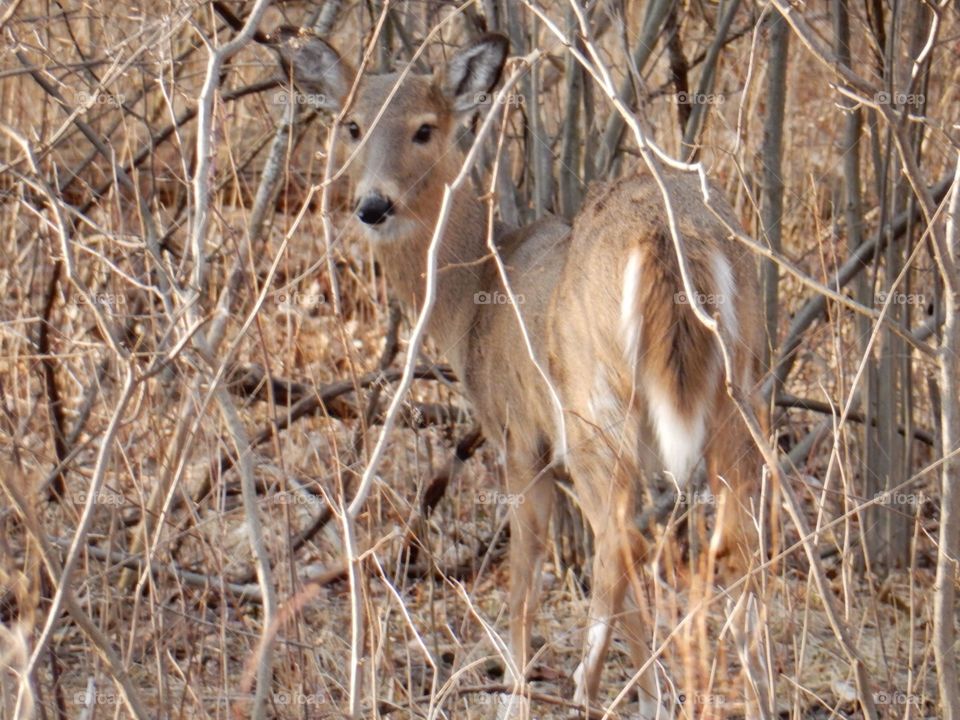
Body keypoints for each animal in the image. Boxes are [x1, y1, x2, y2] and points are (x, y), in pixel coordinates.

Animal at [274, 26, 760, 716]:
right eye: (352, 125)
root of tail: (666, 236)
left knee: (620, 544)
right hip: (739, 384)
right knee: (734, 539)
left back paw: (590, 689)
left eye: (425, 129)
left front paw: (515, 690)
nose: (372, 204)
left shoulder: (518, 436)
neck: (474, 296)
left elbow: (525, 574)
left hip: (593, 408)